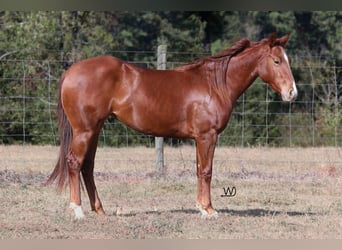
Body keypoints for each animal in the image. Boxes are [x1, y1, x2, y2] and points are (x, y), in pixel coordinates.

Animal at [46, 33, 298, 219]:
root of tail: (71, 71)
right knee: (74, 162)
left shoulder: (199, 139)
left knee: (88, 166)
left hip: (95, 130)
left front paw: (200, 207)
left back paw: (99, 210)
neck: (214, 84)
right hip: (84, 131)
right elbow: (207, 171)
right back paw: (77, 210)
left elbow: (198, 169)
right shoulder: (208, 136)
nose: (292, 93)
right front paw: (209, 210)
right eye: (277, 61)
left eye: (287, 60)